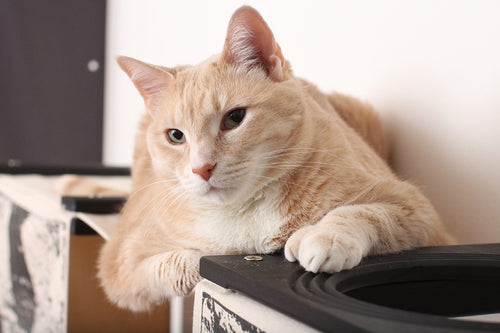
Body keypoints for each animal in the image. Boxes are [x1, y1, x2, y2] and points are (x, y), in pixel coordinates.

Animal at [96, 5, 454, 312]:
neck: (247, 214)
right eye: (175, 136)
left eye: (234, 118)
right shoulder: (121, 261)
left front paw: (322, 235)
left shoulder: (419, 212)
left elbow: (364, 212)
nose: (202, 168)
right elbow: (189, 262)